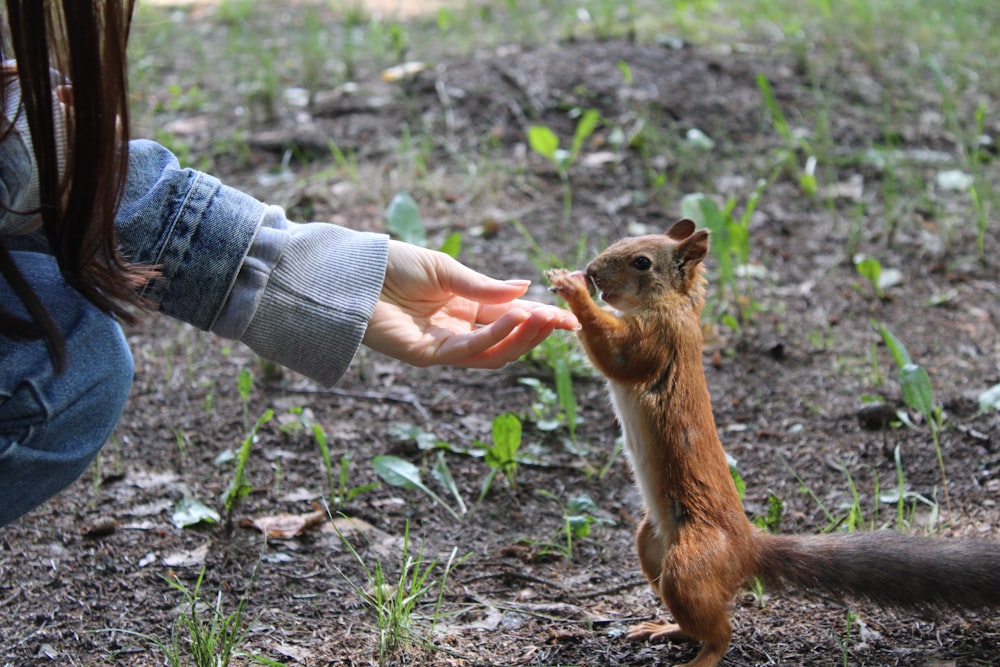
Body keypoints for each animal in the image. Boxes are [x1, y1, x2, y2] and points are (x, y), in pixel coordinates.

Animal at [548, 220, 1000, 667]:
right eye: (622, 240)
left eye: (641, 262)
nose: (592, 272)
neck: (674, 306)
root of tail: (747, 548)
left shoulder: (658, 340)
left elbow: (617, 357)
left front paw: (571, 289)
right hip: (651, 546)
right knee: (696, 616)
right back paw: (667, 628)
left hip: (688, 566)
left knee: (720, 631)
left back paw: (702, 657)